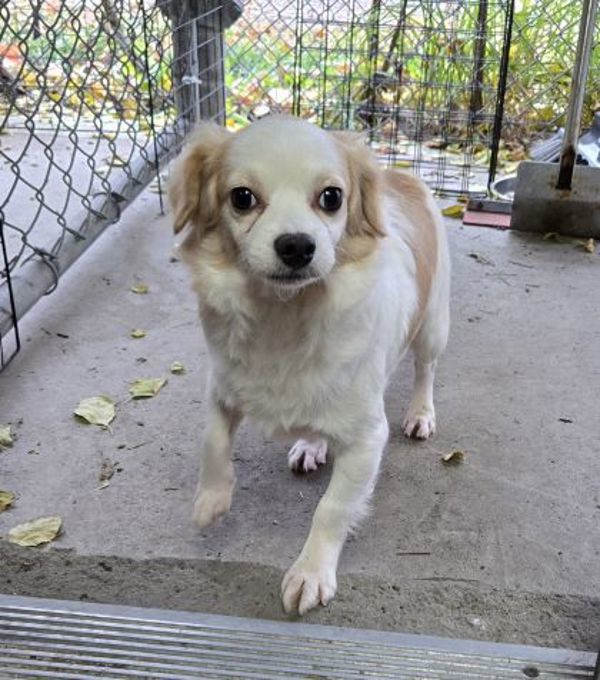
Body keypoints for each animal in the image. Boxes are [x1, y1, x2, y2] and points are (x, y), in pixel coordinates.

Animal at [169, 115, 450, 616]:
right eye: (242, 197)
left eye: (331, 198)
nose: (297, 246)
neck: (284, 313)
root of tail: (402, 175)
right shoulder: (223, 386)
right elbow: (213, 441)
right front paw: (212, 499)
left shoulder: (367, 440)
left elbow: (332, 509)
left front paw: (311, 572)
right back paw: (311, 444)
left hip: (433, 326)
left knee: (425, 370)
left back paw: (420, 413)